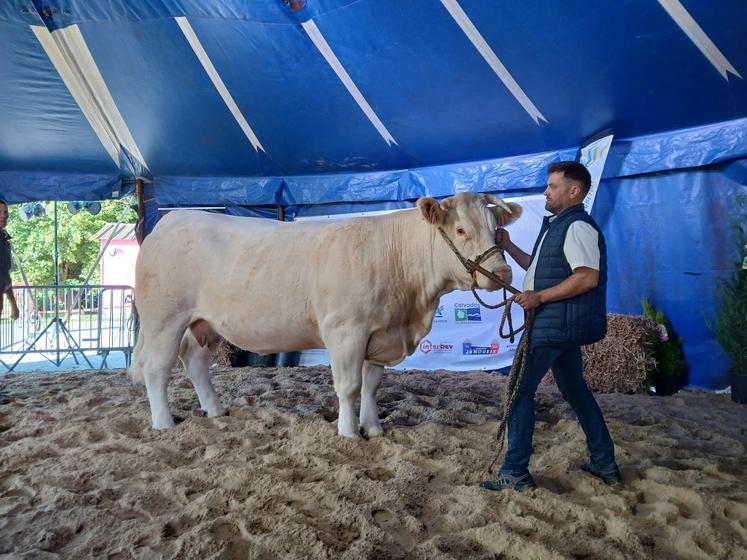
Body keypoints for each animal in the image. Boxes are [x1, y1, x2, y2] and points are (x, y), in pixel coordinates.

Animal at [130, 192, 520, 438]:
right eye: (460, 230)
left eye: (497, 229)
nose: (502, 274)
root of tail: (171, 220)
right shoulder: (346, 331)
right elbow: (349, 387)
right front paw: (349, 433)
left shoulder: (380, 334)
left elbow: (372, 386)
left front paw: (374, 429)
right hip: (164, 319)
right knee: (157, 368)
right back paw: (164, 422)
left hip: (205, 323)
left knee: (195, 363)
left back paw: (215, 411)